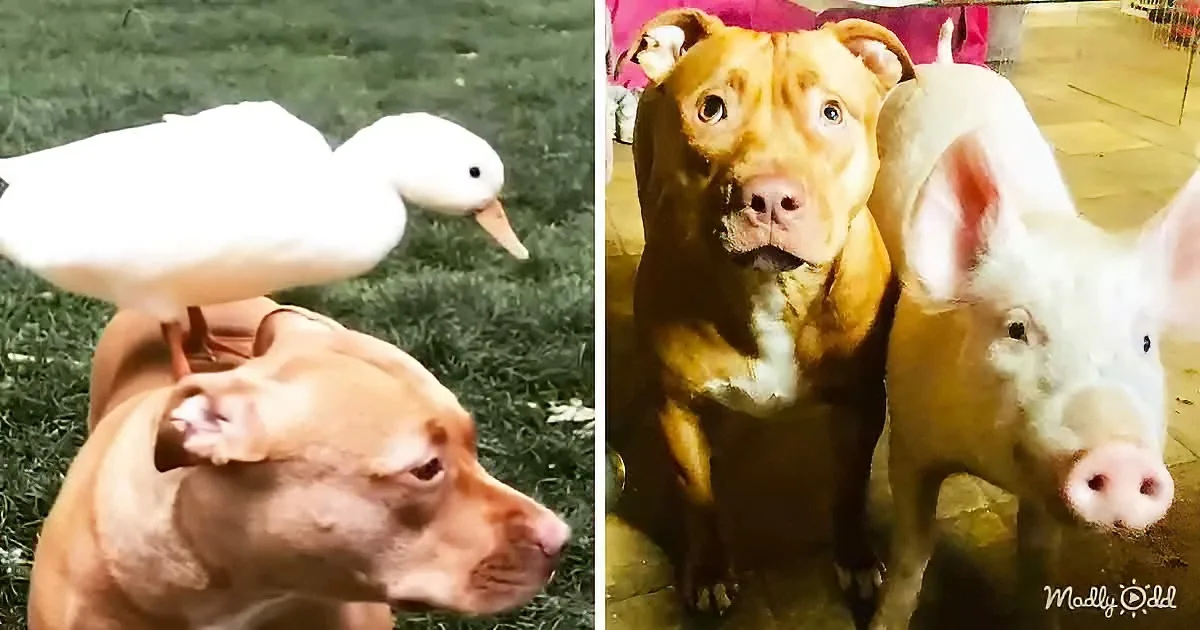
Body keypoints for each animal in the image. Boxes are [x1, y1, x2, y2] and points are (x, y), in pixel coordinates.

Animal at [866, 21, 1200, 630]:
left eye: (1144, 342)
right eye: (1017, 328)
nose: (1119, 454)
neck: (988, 463)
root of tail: (946, 64)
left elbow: (1040, 559)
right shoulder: (910, 437)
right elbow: (912, 548)